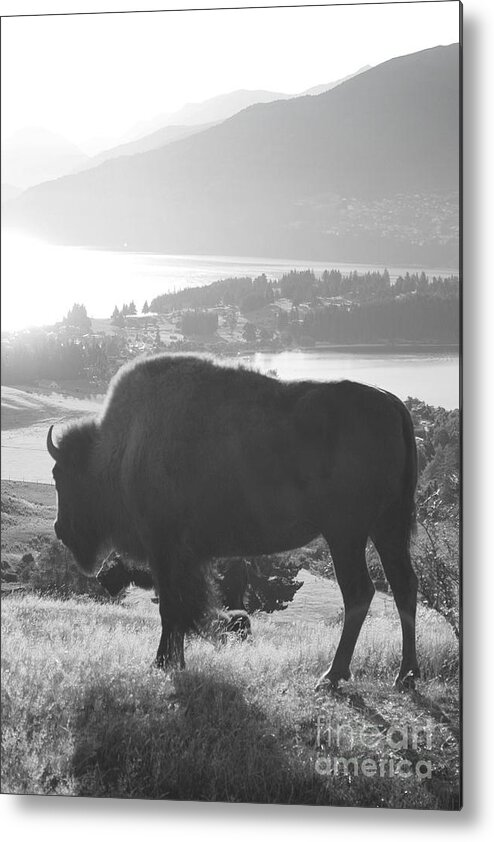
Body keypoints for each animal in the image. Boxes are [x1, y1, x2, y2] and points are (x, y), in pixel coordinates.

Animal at [46, 352, 418, 684]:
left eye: (59, 474)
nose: (60, 529)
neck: (123, 449)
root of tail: (393, 405)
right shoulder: (185, 559)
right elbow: (179, 610)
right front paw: (175, 661)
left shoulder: (165, 552)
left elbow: (171, 609)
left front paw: (163, 663)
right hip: (387, 529)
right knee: (404, 585)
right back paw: (405, 674)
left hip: (346, 534)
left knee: (358, 592)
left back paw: (333, 675)